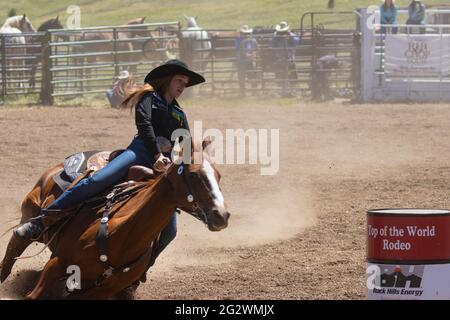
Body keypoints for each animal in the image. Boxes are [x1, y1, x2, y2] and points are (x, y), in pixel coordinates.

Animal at [0, 141, 230, 298]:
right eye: (194, 175)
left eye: (219, 175)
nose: (222, 215)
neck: (120, 232)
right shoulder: (57, 263)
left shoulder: (102, 290)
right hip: (30, 215)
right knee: (14, 249)